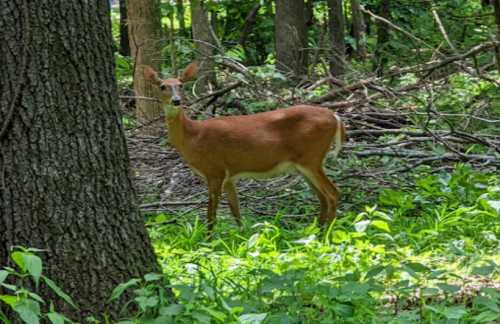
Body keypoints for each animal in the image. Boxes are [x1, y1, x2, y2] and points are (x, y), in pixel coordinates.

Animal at [145, 63, 346, 234]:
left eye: (180, 85)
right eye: (162, 86)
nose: (176, 100)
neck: (192, 136)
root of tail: (335, 116)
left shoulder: (215, 171)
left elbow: (211, 215)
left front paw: (207, 243)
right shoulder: (229, 176)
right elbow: (236, 212)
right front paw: (243, 238)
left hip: (311, 158)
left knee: (333, 193)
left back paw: (326, 235)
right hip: (303, 164)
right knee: (322, 198)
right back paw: (317, 233)